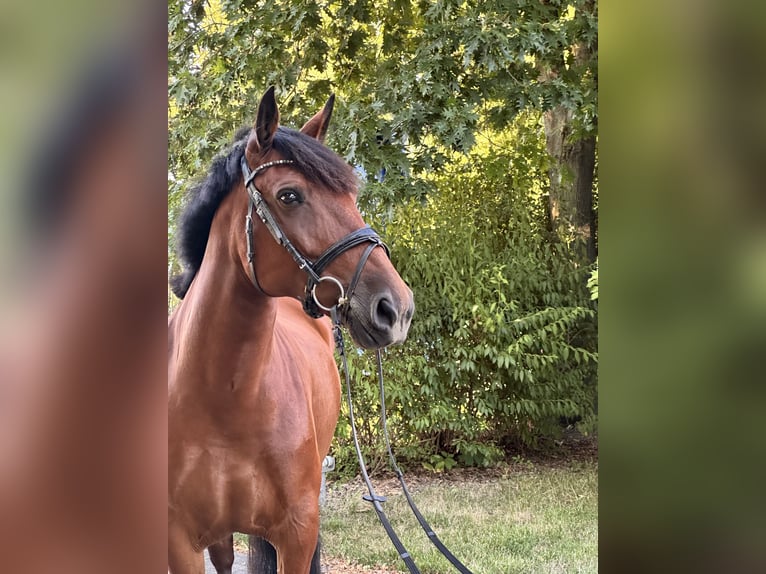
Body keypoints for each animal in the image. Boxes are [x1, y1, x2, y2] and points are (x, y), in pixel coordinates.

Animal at [168, 87, 414, 574]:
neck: (227, 400)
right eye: (289, 195)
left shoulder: (297, 534)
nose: (396, 310)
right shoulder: (182, 541)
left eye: (351, 194)